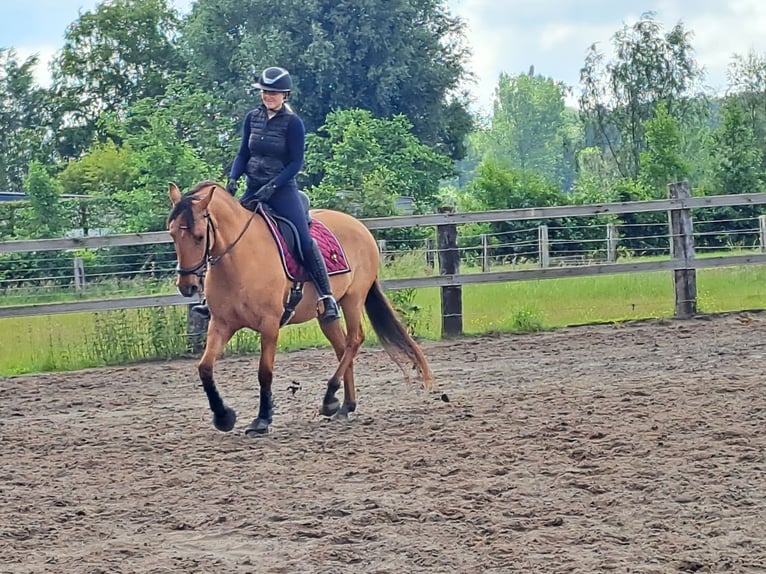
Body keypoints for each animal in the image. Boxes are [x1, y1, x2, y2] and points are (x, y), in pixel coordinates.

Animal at [167, 180, 436, 436]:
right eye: (172, 234)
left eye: (199, 236)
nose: (187, 286)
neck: (240, 258)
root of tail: (359, 226)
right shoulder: (221, 324)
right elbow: (205, 368)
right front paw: (223, 417)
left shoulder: (270, 325)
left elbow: (265, 373)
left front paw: (262, 420)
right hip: (326, 315)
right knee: (342, 348)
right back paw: (344, 405)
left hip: (353, 299)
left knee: (354, 340)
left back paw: (329, 398)